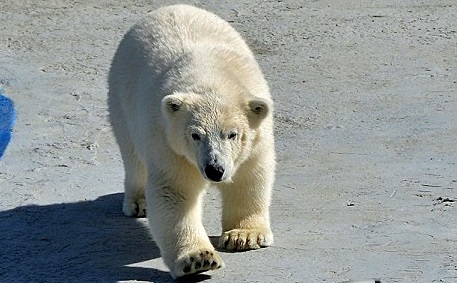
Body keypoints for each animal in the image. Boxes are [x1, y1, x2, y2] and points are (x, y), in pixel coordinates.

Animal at [108, 4, 274, 280]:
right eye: (196, 135)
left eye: (232, 134)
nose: (214, 169)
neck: (211, 77)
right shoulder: (168, 141)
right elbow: (175, 192)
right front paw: (199, 259)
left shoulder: (257, 138)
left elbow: (250, 176)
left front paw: (243, 236)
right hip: (122, 99)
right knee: (133, 156)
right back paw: (138, 203)